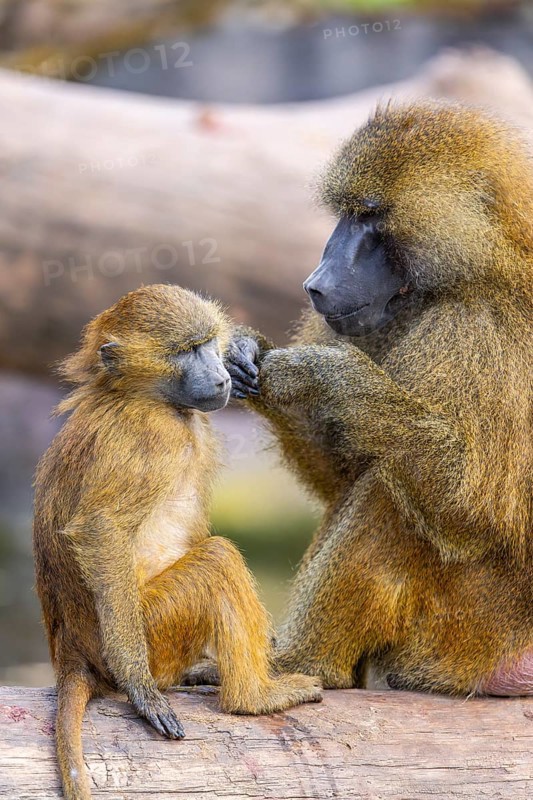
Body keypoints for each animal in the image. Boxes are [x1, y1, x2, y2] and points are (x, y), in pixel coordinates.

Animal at [33, 284, 322, 800]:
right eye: (186, 352)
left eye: (207, 344)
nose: (222, 376)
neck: (141, 395)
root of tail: (74, 657)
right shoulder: (150, 437)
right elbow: (100, 528)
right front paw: (139, 686)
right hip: (155, 626)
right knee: (218, 559)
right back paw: (254, 697)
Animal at [224, 101, 533, 697]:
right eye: (345, 213)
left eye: (369, 216)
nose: (316, 284)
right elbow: (342, 476)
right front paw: (250, 354)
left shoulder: (477, 330)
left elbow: (475, 514)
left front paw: (323, 375)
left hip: (467, 636)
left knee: (390, 501)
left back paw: (299, 663)